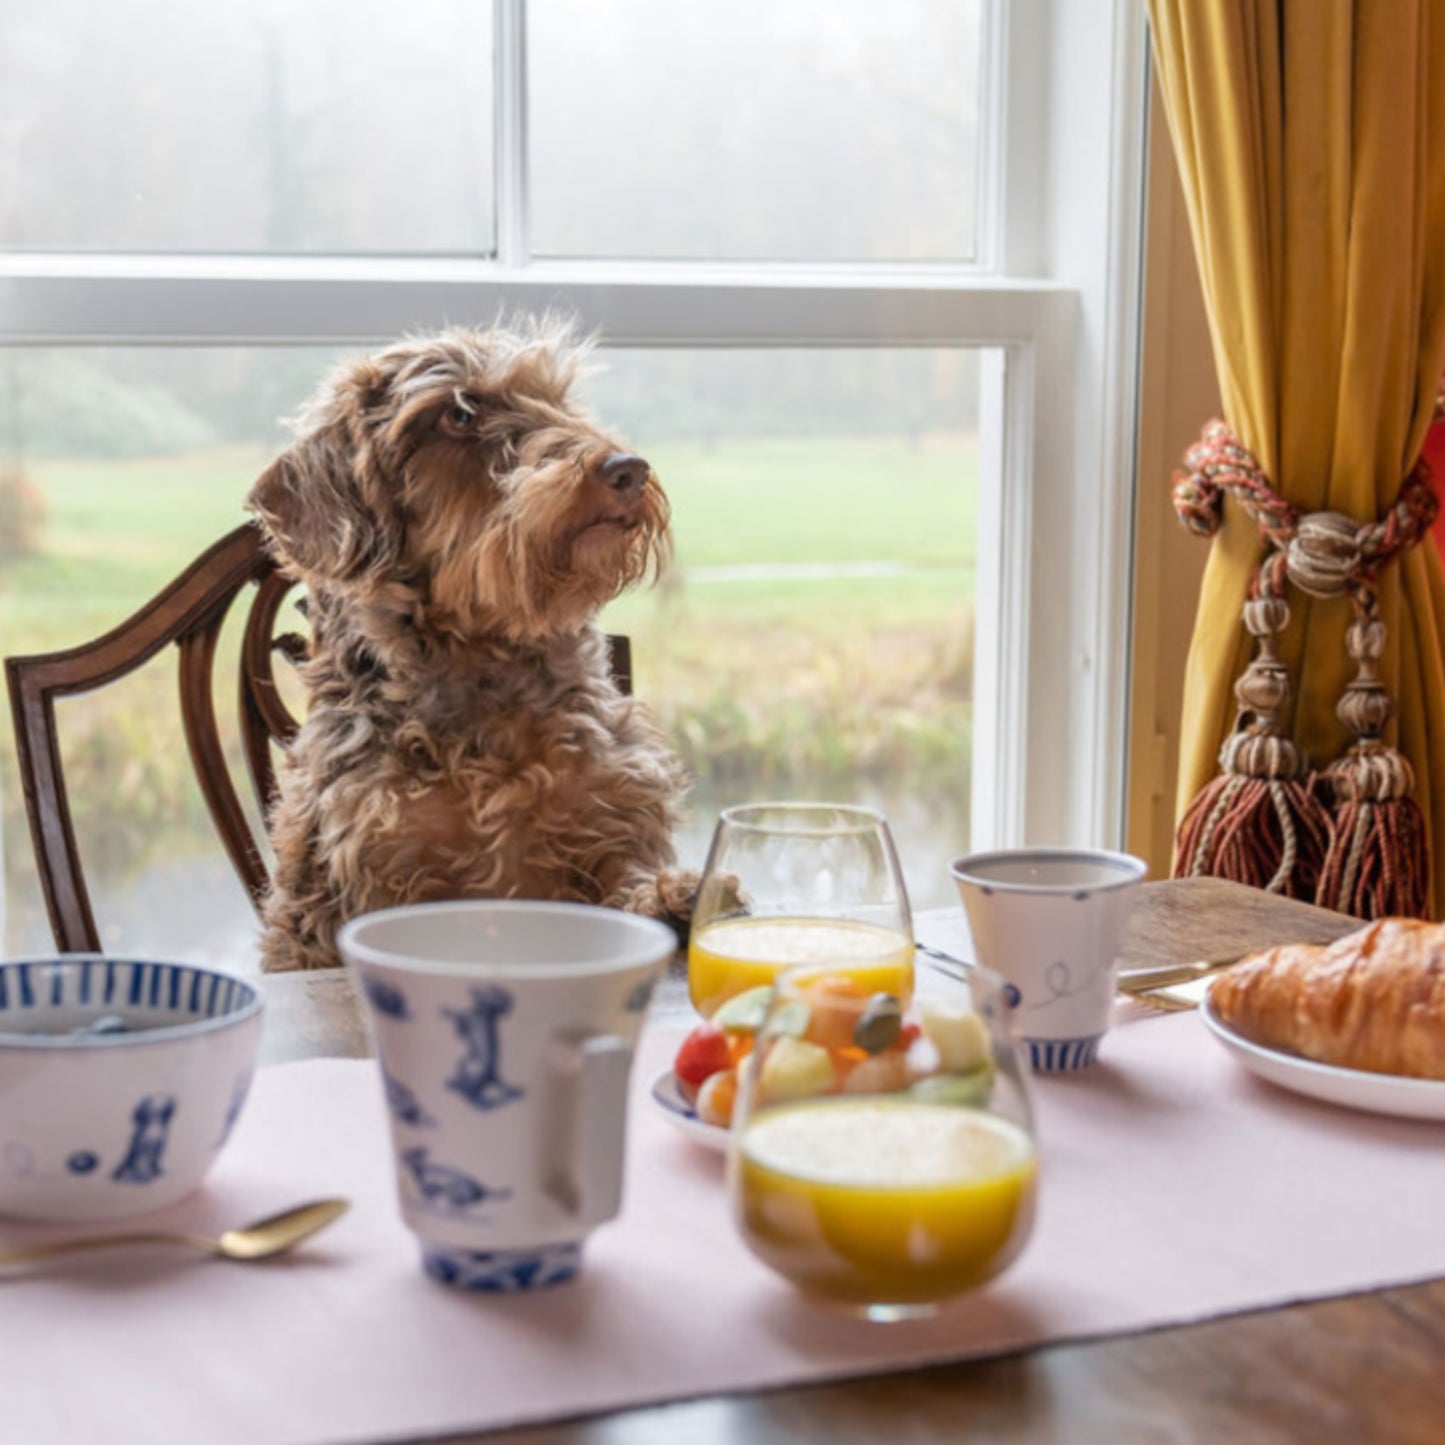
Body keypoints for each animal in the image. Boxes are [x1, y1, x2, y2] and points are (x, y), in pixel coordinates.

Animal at [245, 316, 696, 971]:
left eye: (556, 398)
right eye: (459, 414)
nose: (627, 469)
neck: (484, 663)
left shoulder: (617, 811)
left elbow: (628, 882)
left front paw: (669, 899)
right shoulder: (375, 863)